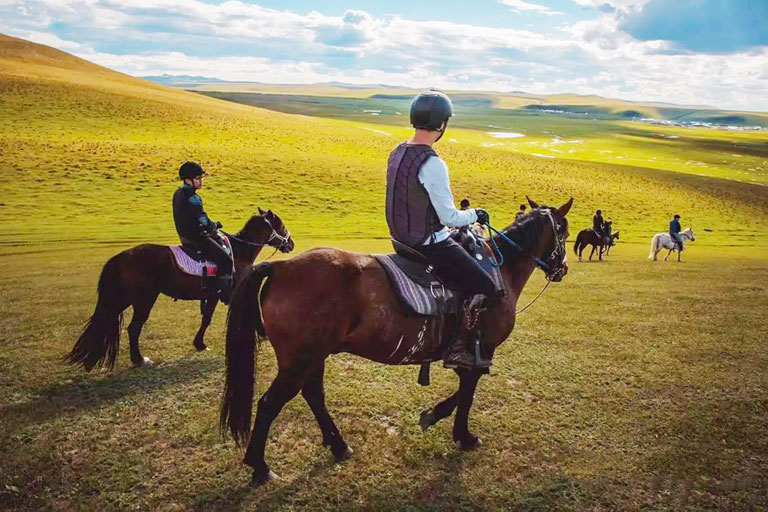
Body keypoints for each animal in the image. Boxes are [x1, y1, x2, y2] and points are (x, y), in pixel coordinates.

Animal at [65, 208, 294, 372]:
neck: (239, 252)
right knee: (133, 327)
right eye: (280, 224)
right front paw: (262, 332)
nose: (291, 244)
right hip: (142, 299)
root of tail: (122, 257)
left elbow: (206, 318)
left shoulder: (213, 296)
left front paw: (199, 343)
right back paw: (139, 359)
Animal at [220, 198, 568, 486]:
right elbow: (467, 393)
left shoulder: (469, 357)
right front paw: (461, 434)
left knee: (313, 395)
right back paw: (260, 467)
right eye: (563, 232)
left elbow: (463, 391)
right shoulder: (480, 352)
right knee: (269, 404)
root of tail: (281, 267)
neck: (500, 270)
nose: (562, 268)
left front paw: (437, 418)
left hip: (312, 358)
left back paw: (338, 445)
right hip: (299, 362)